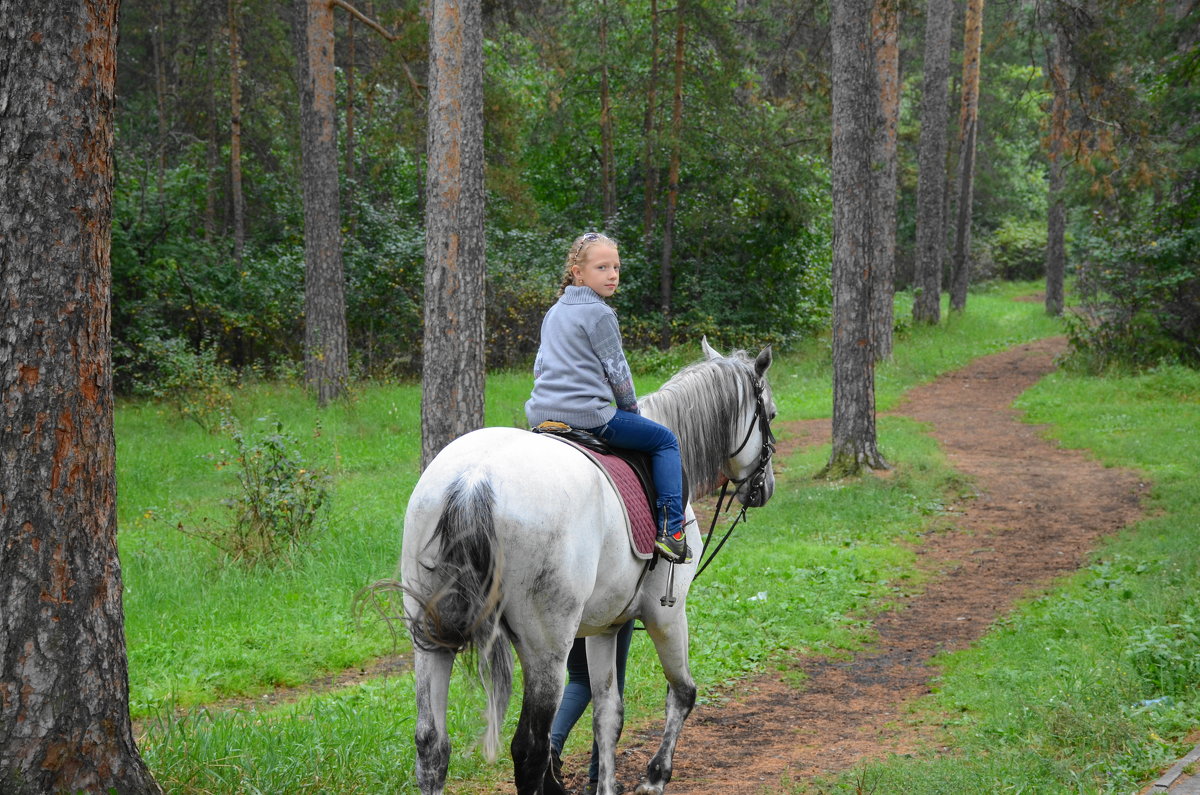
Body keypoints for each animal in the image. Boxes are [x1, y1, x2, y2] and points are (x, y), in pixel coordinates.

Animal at [400, 338, 777, 795]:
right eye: (771, 414)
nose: (764, 488)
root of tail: (475, 479)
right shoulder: (666, 614)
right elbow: (682, 693)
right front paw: (655, 776)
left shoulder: (604, 627)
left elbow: (607, 714)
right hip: (547, 646)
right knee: (529, 748)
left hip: (430, 634)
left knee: (432, 744)